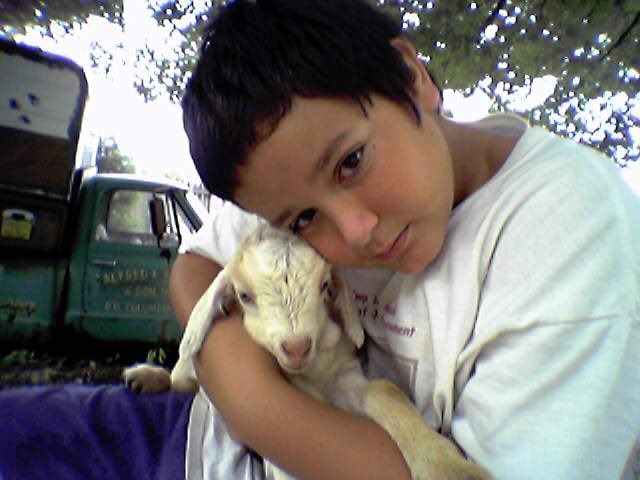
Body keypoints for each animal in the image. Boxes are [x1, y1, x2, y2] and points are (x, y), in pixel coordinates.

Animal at [124, 224, 490, 480]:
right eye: (244, 296)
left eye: (325, 286)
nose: (296, 347)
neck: (312, 372)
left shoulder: (344, 375)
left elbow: (384, 390)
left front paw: (449, 468)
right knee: (183, 381)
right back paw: (147, 377)